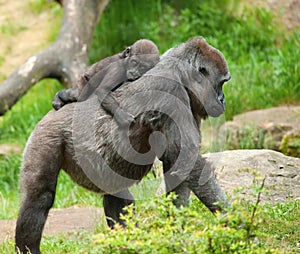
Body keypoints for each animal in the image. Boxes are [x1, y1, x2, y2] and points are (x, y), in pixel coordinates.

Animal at [15, 36, 232, 253]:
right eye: (221, 83)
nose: (223, 100)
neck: (181, 72)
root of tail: (51, 113)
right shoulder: (170, 91)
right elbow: (188, 161)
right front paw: (233, 219)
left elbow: (178, 165)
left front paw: (177, 231)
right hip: (47, 134)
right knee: (39, 196)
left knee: (117, 196)